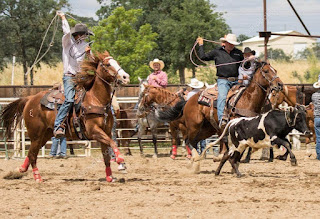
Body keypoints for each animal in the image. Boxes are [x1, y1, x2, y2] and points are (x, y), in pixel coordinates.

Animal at [0, 52, 130, 182]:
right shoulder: (94, 131)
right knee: (32, 154)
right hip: (35, 134)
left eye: (117, 63)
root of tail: (30, 99)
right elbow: (112, 143)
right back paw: (37, 177)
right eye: (108, 64)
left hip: (45, 135)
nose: (125, 77)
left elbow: (106, 154)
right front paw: (120, 161)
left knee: (32, 152)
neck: (96, 99)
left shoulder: (106, 132)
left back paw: (21, 169)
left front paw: (110, 176)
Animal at [156, 61, 284, 171]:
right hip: (194, 126)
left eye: (276, 70)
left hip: (207, 129)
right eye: (266, 71)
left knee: (194, 141)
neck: (247, 100)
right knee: (188, 141)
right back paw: (195, 161)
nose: (280, 84)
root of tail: (188, 100)